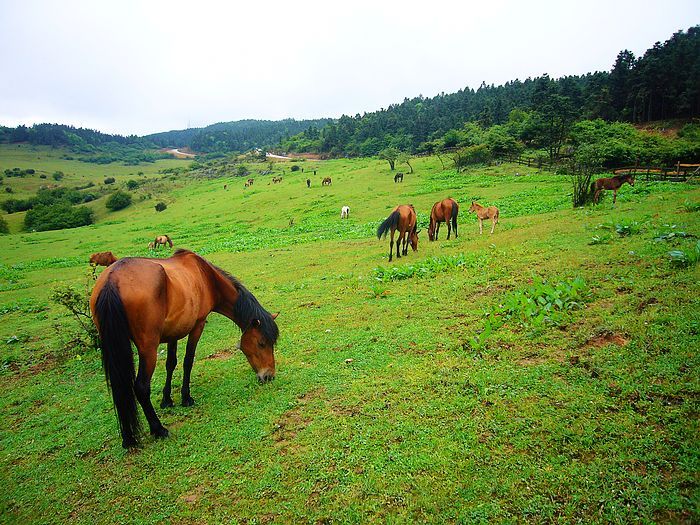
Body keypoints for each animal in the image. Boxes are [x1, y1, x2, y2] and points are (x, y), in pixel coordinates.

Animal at [89, 249, 280, 446]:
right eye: (262, 343)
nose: (269, 376)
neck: (206, 278)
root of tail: (112, 279)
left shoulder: (173, 332)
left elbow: (171, 364)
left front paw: (167, 400)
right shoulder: (198, 325)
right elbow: (188, 361)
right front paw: (186, 398)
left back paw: (128, 438)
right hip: (148, 349)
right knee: (141, 387)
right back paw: (158, 429)